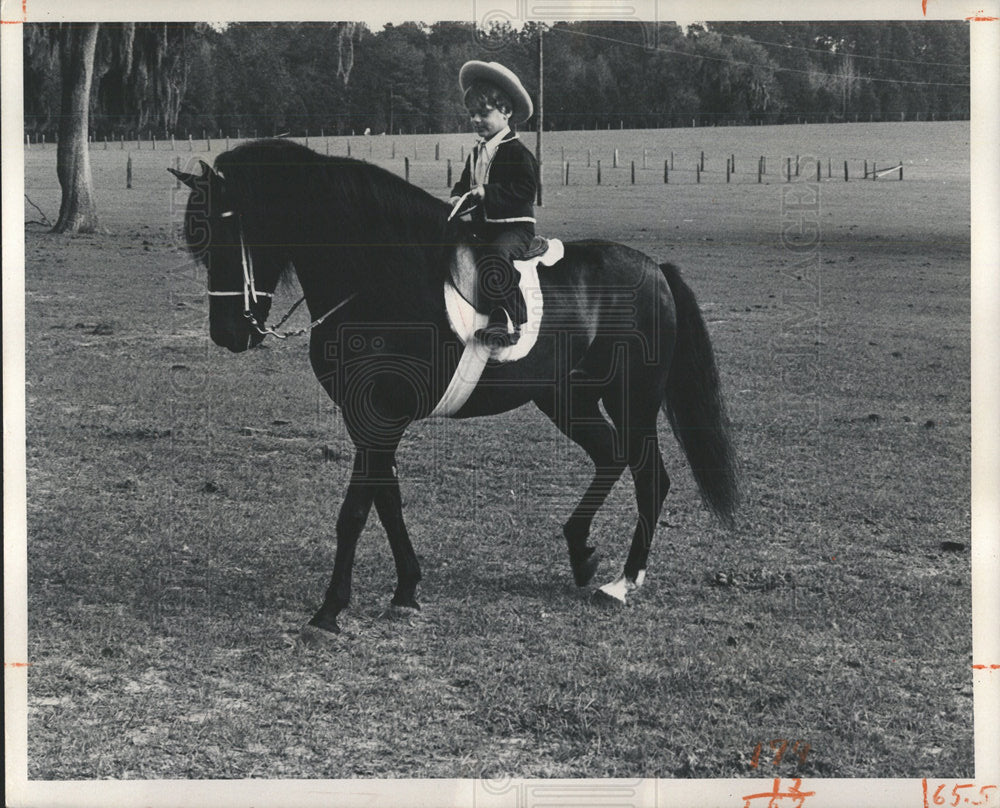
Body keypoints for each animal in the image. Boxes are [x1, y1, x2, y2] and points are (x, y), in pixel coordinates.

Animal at [170, 139, 736, 636]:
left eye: (229, 231)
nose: (228, 333)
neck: (380, 280)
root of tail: (654, 269)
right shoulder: (367, 419)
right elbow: (387, 500)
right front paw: (406, 590)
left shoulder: (381, 417)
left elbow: (354, 512)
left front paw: (329, 612)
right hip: (567, 399)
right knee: (611, 456)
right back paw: (581, 553)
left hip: (632, 398)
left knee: (651, 475)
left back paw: (624, 581)